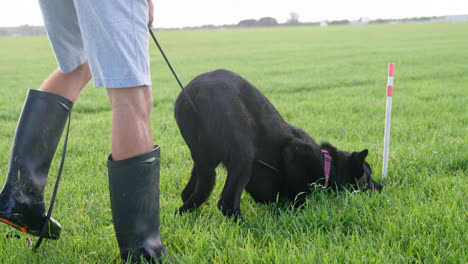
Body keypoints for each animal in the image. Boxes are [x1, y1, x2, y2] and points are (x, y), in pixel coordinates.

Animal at [174, 69, 382, 220]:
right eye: (368, 176)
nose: (381, 187)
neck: (328, 164)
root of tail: (195, 93)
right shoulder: (293, 152)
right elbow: (300, 195)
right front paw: (297, 209)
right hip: (244, 153)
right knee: (227, 202)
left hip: (202, 159)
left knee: (189, 192)